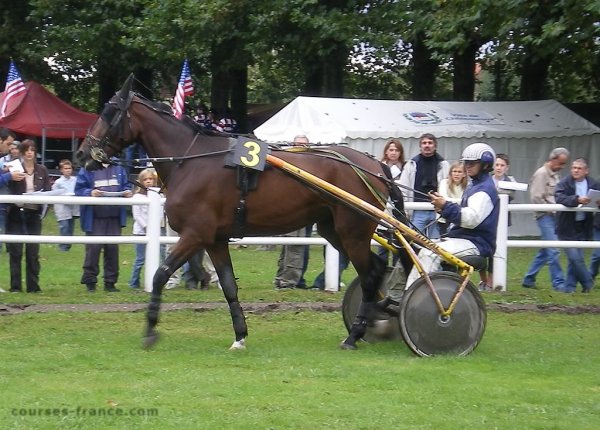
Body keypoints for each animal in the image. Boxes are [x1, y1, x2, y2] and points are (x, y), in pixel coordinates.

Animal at [72, 75, 406, 352]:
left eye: (108, 112)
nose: (81, 154)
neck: (190, 160)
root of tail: (376, 165)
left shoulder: (195, 235)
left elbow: (160, 275)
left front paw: (150, 331)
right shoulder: (215, 240)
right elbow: (229, 286)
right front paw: (240, 336)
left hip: (353, 231)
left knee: (369, 276)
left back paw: (356, 333)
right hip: (333, 229)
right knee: (375, 271)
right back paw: (377, 316)